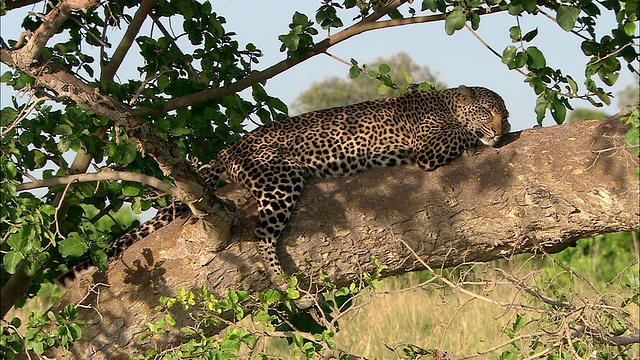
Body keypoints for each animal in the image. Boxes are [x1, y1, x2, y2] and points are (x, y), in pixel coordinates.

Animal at [58, 86, 510, 292]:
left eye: (504, 112)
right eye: (490, 111)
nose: (503, 127)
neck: (447, 102)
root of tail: (231, 147)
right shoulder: (428, 147)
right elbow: (460, 137)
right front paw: (482, 139)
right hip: (279, 180)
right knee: (261, 234)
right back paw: (282, 280)